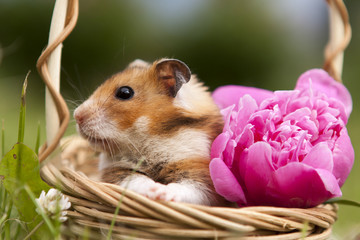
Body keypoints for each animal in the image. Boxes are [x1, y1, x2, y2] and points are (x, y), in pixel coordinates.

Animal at [74, 59, 226, 205]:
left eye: (125, 92)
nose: (76, 116)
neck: (153, 138)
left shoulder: (198, 173)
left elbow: (187, 189)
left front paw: (161, 193)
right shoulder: (116, 172)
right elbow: (138, 180)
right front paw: (153, 190)